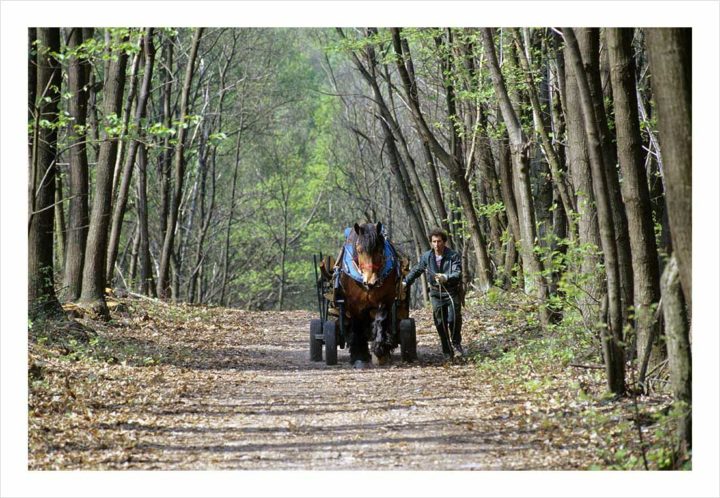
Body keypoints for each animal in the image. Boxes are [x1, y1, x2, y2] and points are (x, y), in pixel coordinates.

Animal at [337, 222, 402, 369]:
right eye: (359, 250)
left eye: (379, 249)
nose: (371, 281)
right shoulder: (353, 304)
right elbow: (357, 326)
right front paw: (359, 356)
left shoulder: (385, 299)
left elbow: (381, 320)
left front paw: (380, 349)